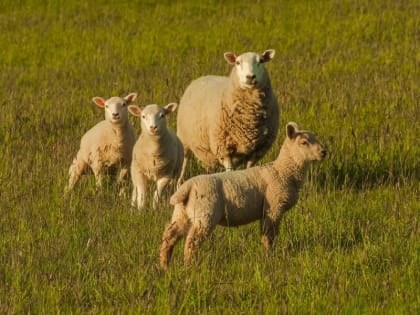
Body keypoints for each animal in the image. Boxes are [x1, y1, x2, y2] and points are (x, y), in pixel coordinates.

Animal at [159, 121, 326, 270]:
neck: (283, 171)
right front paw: (270, 256)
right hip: (205, 213)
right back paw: (189, 266)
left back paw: (165, 265)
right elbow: (269, 235)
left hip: (183, 213)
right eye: (304, 142)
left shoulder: (268, 210)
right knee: (192, 241)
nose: (324, 152)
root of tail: (187, 187)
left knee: (170, 235)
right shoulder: (273, 207)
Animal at [176, 48, 278, 184]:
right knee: (184, 163)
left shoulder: (256, 152)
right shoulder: (224, 149)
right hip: (184, 140)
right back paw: (179, 183)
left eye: (261, 61)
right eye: (238, 62)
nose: (250, 77)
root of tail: (204, 76)